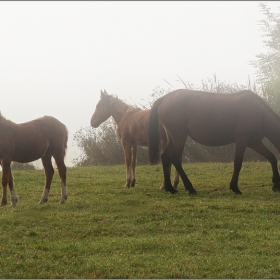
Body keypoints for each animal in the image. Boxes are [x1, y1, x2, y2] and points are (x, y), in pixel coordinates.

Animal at [149, 89, 280, 195]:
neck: (258, 111)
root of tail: (165, 98)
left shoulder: (254, 143)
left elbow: (272, 158)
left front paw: (276, 184)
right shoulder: (241, 140)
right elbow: (237, 164)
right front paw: (235, 187)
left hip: (172, 138)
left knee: (165, 157)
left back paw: (170, 188)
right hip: (179, 137)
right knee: (176, 159)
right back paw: (190, 188)